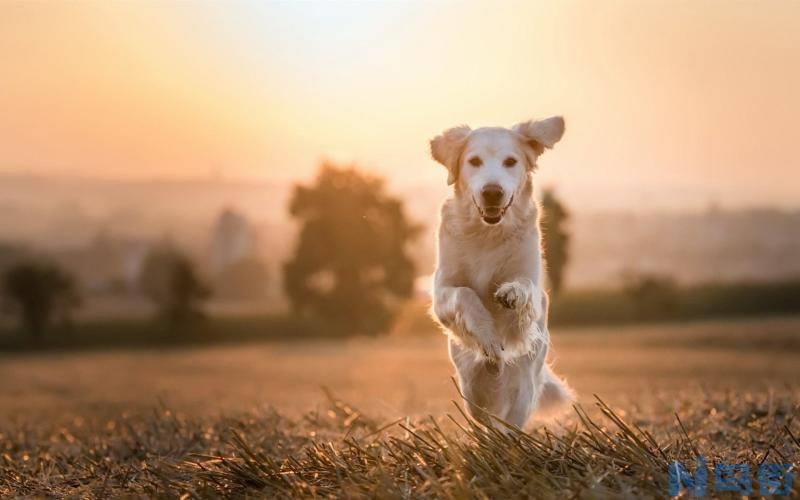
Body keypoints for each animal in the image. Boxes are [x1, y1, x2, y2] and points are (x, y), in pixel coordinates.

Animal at [432, 116, 576, 426]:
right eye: (474, 161)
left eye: (511, 161)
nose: (492, 192)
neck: (488, 233)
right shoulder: (441, 292)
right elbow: (465, 294)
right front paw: (487, 337)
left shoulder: (532, 285)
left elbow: (525, 290)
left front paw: (512, 294)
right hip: (471, 388)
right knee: (485, 420)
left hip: (525, 382)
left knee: (511, 422)